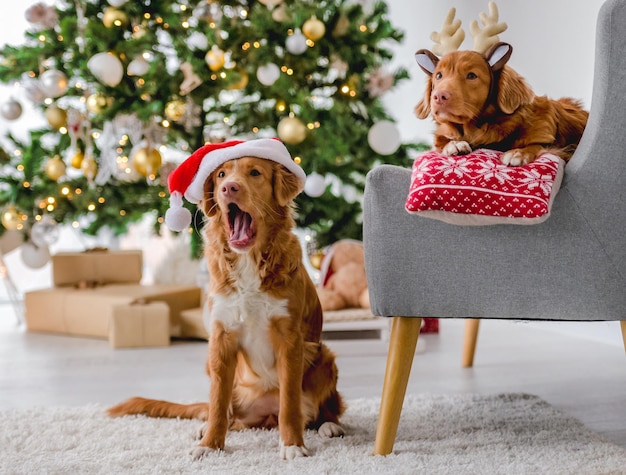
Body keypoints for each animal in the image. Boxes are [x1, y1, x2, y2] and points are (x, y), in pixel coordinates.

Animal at [105, 139, 344, 462]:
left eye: (255, 173)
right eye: (220, 175)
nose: (230, 188)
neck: (249, 262)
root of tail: (263, 416)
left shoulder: (290, 340)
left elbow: (290, 403)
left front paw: (292, 444)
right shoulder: (221, 339)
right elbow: (218, 403)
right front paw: (210, 445)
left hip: (322, 356)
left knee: (323, 408)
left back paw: (329, 425)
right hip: (214, 367)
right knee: (225, 413)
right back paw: (204, 428)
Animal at [414, 2, 584, 166]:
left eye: (471, 75)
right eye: (438, 75)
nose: (439, 96)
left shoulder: (560, 146)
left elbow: (538, 145)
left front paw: (518, 153)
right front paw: (454, 144)